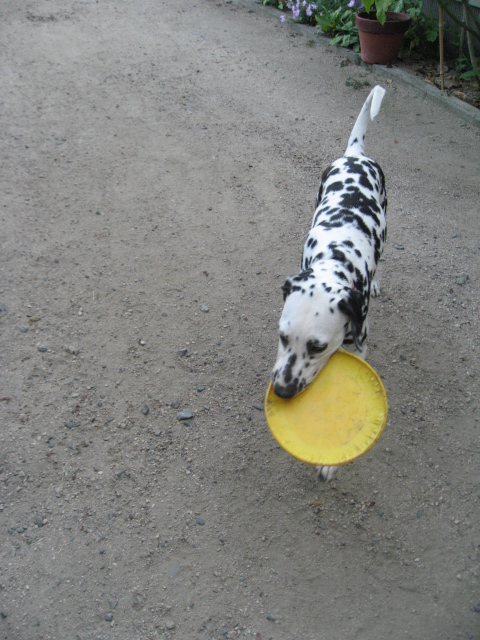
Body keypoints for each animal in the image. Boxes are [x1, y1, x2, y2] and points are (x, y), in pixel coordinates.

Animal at [272, 85, 388, 482]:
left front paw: (328, 463)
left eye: (318, 346)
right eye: (282, 336)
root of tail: (355, 155)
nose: (281, 391)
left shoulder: (361, 343)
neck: (336, 257)